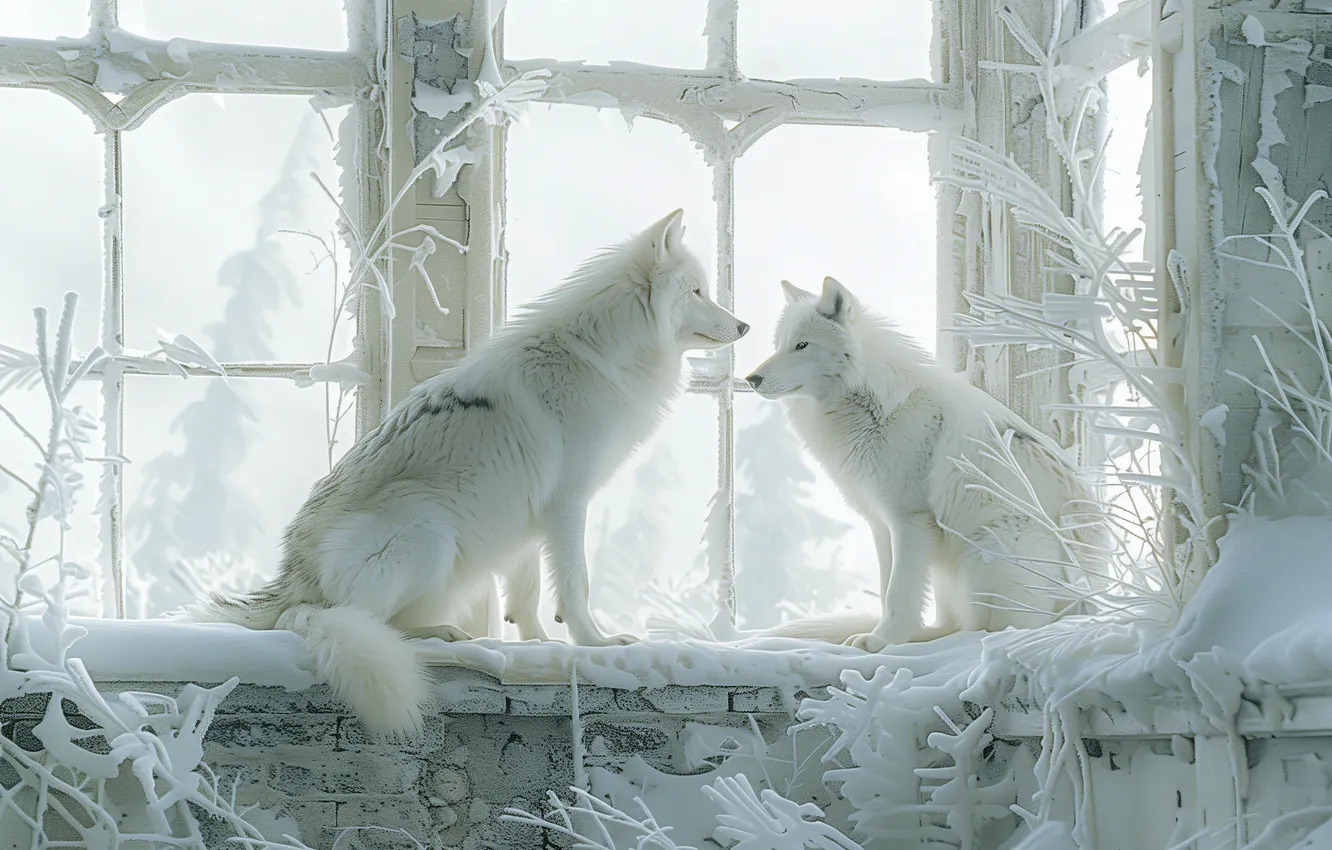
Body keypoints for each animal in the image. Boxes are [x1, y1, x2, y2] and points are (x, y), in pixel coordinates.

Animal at [186, 209, 749, 735]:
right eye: (698, 290)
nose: (744, 327)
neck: (601, 355)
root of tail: (294, 586)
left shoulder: (530, 513)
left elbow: (526, 598)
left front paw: (539, 646)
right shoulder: (568, 503)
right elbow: (576, 585)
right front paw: (596, 643)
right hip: (429, 529)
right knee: (363, 620)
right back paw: (441, 639)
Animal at [745, 277, 1105, 652]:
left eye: (802, 345)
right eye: (779, 345)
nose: (751, 379)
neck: (870, 405)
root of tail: (1088, 605)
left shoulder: (911, 520)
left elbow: (898, 592)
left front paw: (881, 641)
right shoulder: (881, 524)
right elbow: (888, 588)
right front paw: (888, 638)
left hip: (990, 549)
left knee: (989, 629)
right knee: (950, 625)